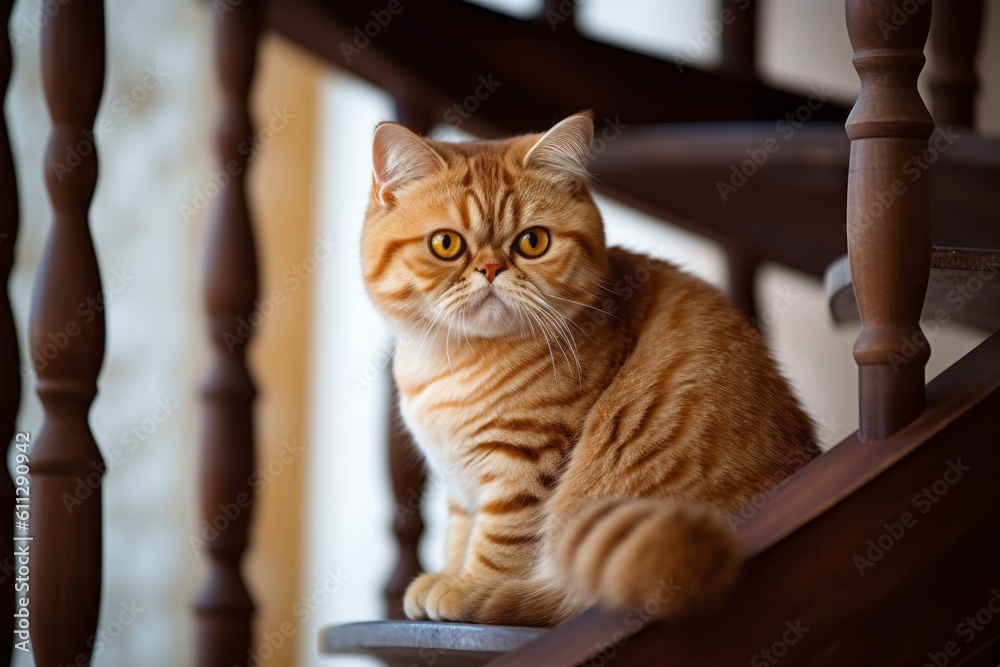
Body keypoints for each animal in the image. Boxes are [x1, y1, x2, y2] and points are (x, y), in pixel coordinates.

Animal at [362, 112, 820, 628]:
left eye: (532, 242)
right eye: (445, 244)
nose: (491, 269)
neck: (451, 361)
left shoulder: (527, 456)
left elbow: (499, 541)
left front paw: (470, 588)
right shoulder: (461, 484)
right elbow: (460, 534)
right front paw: (449, 573)